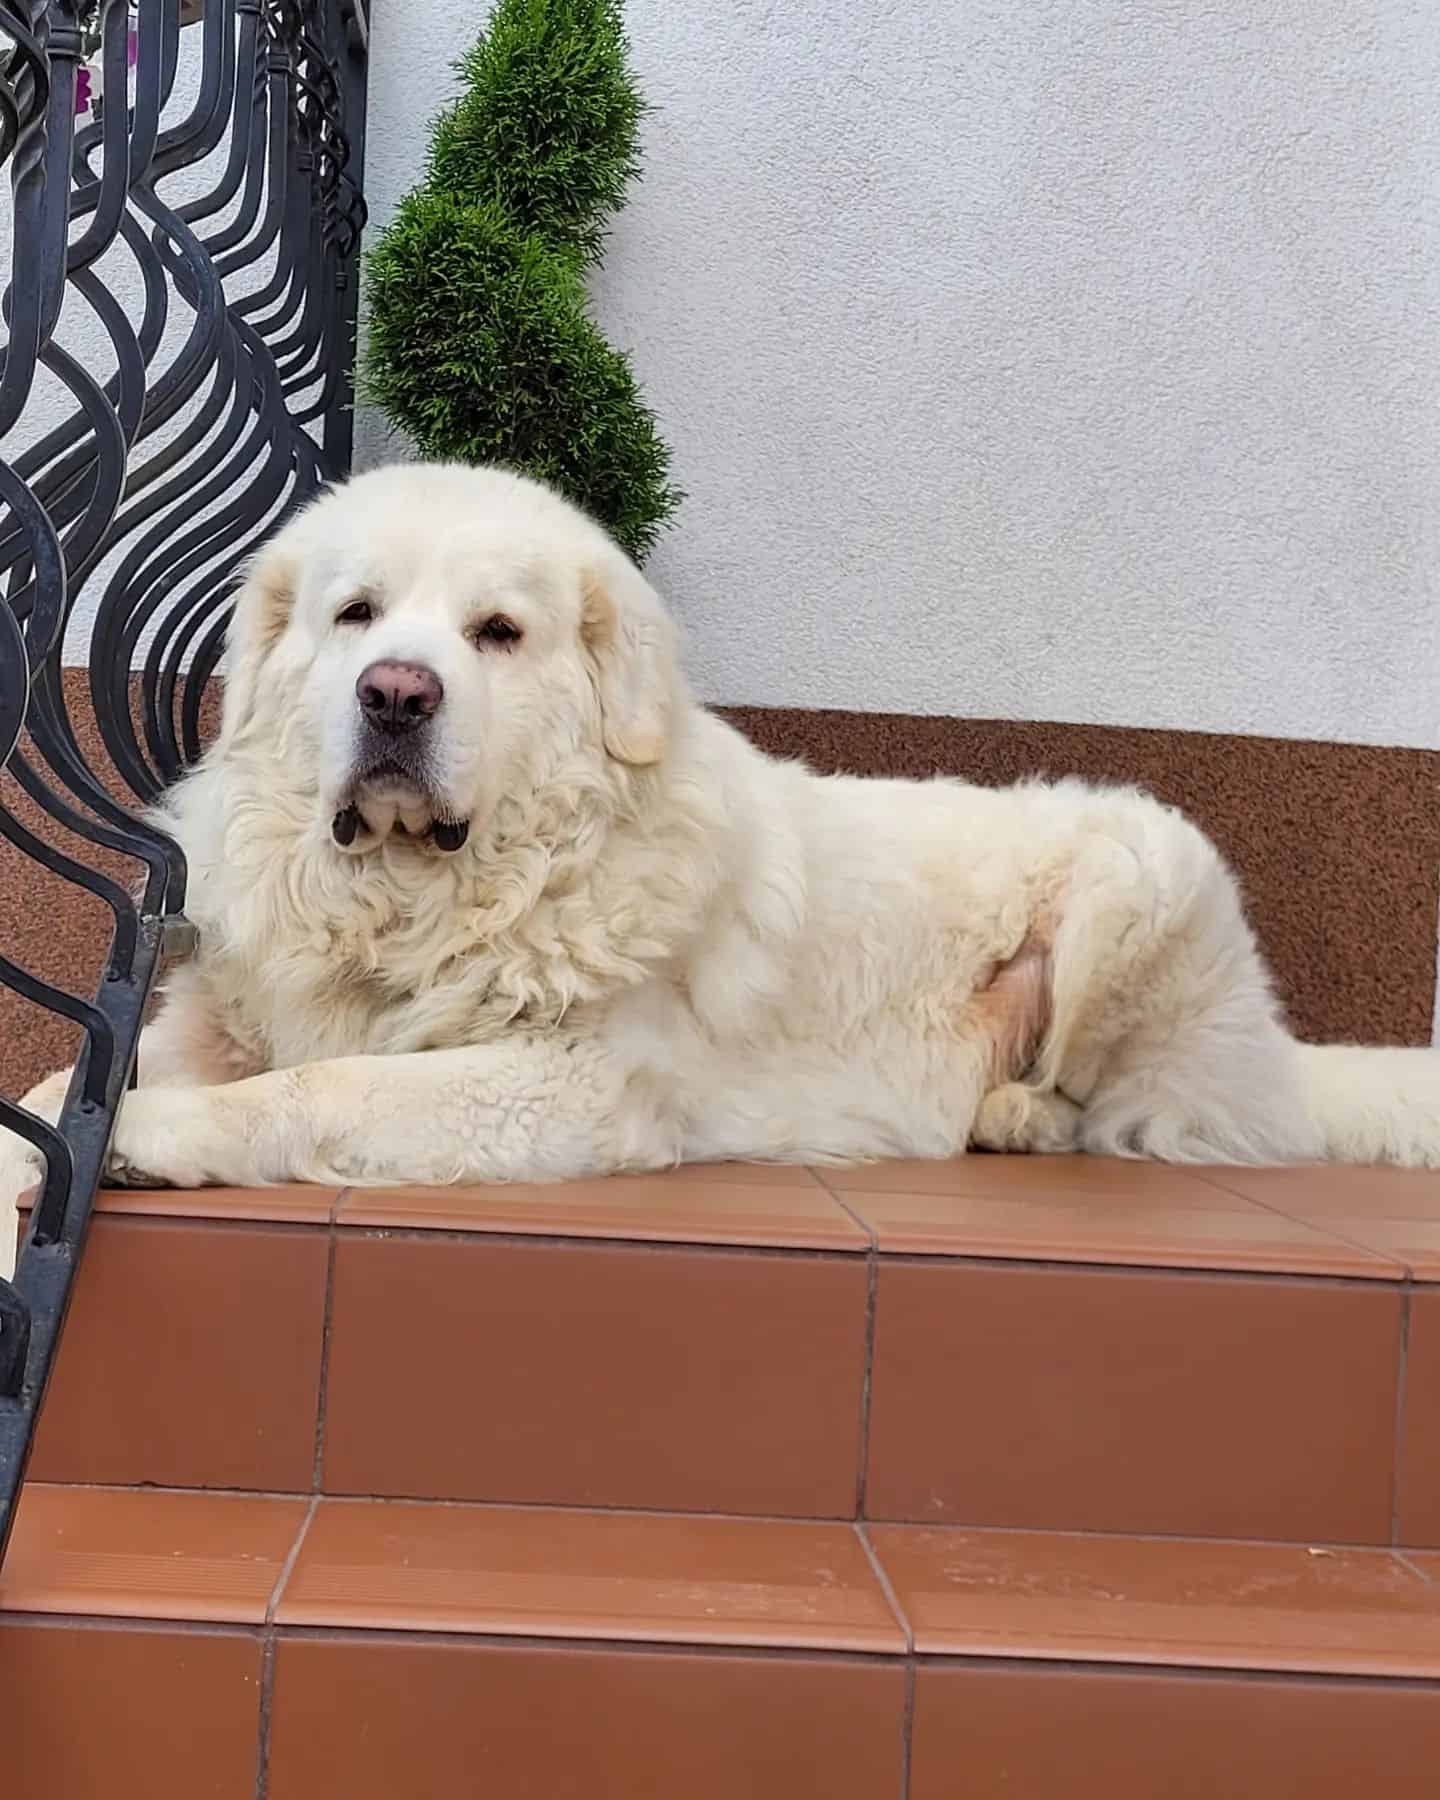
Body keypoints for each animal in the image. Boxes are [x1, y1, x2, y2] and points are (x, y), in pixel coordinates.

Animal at [2, 464, 1440, 1274]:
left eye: (498, 633)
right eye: (356, 614)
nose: (396, 695)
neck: (417, 901)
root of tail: (1272, 1056)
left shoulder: (573, 1083)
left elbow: (321, 1086)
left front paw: (142, 1140)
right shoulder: (228, 1011)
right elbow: (73, 1072)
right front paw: (48, 1137)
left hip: (1147, 864)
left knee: (1119, 1108)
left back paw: (1016, 1113)